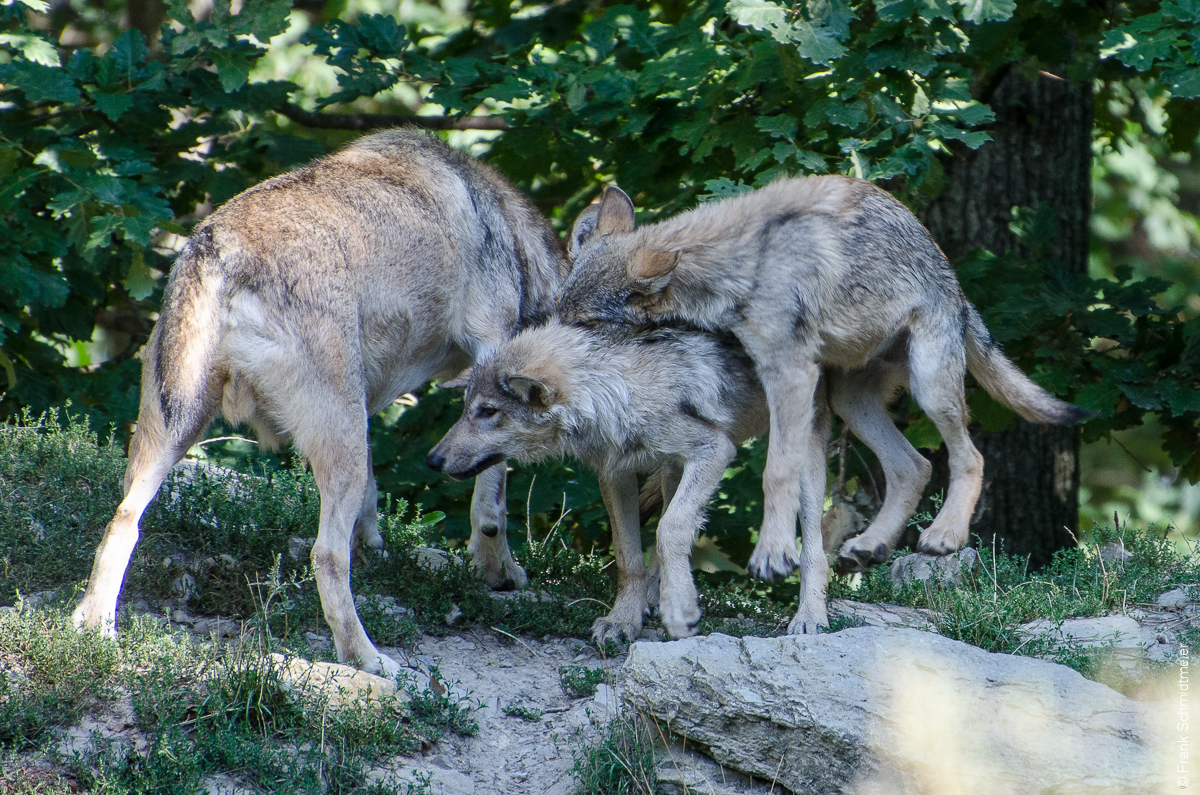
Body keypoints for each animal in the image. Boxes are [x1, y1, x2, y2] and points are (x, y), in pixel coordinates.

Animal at [72, 130, 568, 677]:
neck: (510, 232)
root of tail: (220, 246)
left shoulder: (367, 405)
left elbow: (373, 498)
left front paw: (374, 549)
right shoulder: (485, 362)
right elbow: (491, 502)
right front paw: (499, 571)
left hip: (177, 431)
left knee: (123, 520)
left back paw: (94, 630)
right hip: (329, 440)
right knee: (325, 556)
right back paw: (370, 660)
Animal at [427, 321, 772, 643]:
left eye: (488, 411)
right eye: (465, 409)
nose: (432, 460)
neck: (617, 397)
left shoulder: (714, 450)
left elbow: (670, 528)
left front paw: (678, 610)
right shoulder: (615, 474)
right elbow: (627, 555)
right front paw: (623, 620)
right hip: (673, 471)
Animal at [552, 178, 1089, 634]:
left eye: (584, 326)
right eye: (559, 316)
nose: (552, 362)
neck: (743, 266)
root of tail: (956, 288)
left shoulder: (788, 374)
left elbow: (774, 474)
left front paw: (770, 553)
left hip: (929, 387)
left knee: (968, 457)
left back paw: (941, 537)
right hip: (852, 403)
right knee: (914, 466)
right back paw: (870, 546)